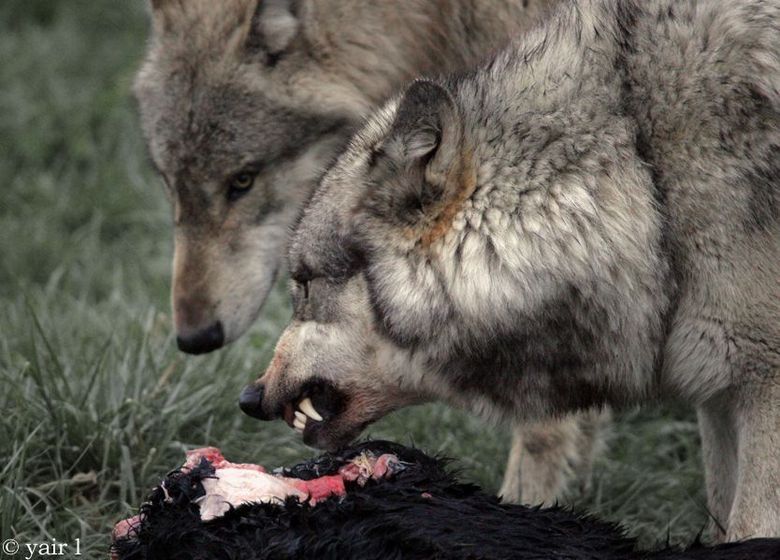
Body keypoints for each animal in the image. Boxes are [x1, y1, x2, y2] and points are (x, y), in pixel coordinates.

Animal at [134, 0, 601, 506]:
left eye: (242, 180)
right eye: (169, 184)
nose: (195, 338)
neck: (438, 23)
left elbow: (542, 425)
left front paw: (529, 502)